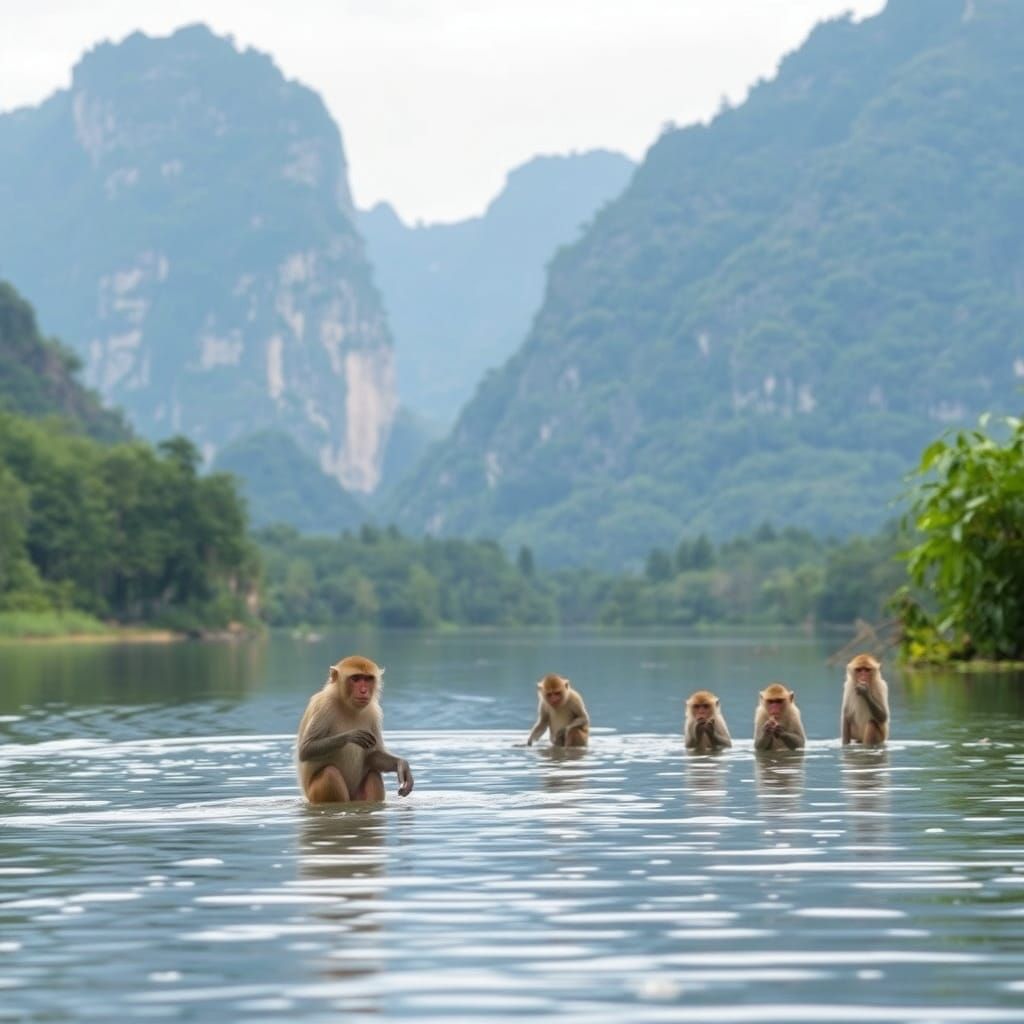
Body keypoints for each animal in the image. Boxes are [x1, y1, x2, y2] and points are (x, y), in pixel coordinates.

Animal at [296, 655, 413, 804]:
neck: (347, 705)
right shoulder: (324, 706)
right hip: (314, 794)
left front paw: (402, 765)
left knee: (373, 774)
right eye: (356, 678)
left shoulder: (373, 712)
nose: (363, 691)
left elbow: (372, 755)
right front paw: (351, 736)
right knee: (330, 774)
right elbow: (306, 749)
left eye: (368, 679)